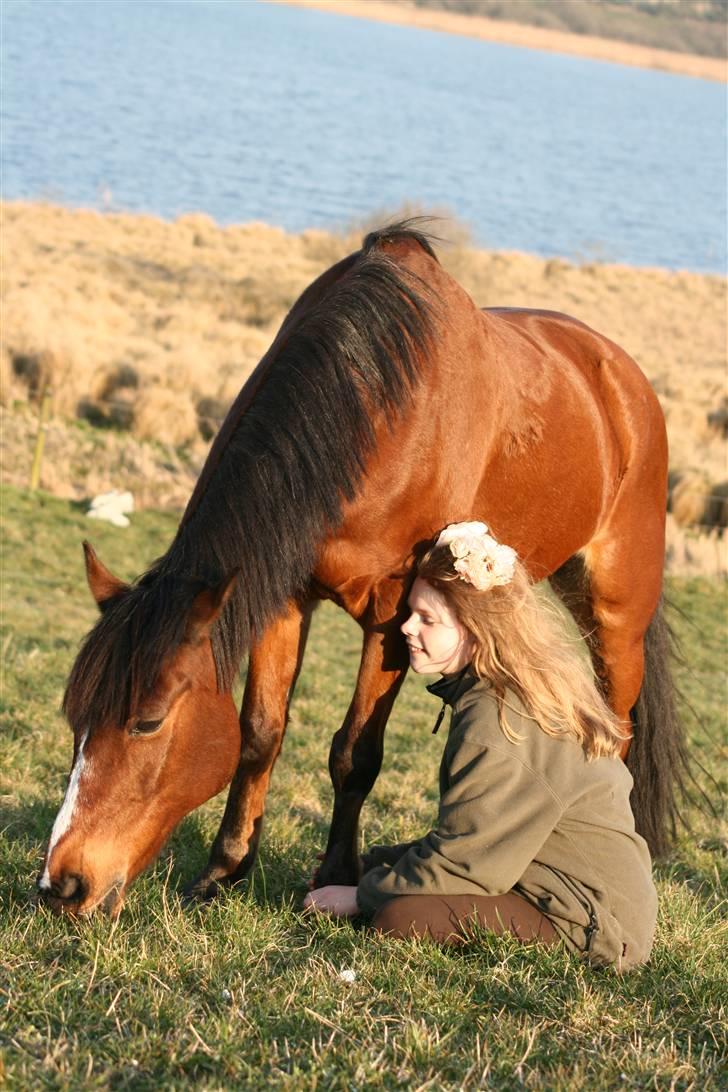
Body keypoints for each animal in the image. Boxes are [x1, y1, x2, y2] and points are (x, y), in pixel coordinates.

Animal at [37, 219, 685, 912]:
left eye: (147, 722)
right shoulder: (282, 593)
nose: (61, 884)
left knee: (616, 730)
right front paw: (225, 870)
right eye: (76, 718)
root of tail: (622, 377)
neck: (375, 409)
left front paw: (336, 875)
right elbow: (259, 734)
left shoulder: (396, 610)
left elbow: (355, 753)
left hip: (618, 614)